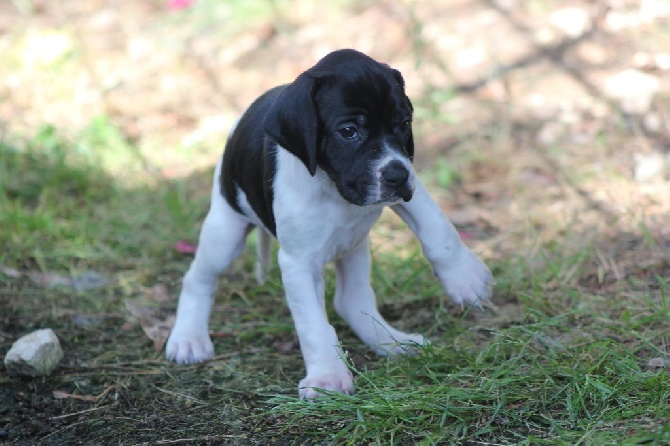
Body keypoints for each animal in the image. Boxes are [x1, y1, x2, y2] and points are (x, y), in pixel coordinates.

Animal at [167, 49, 494, 400]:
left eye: (403, 124)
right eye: (349, 131)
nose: (396, 175)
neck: (332, 187)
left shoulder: (407, 190)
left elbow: (438, 228)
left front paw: (465, 278)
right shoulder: (298, 264)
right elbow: (314, 325)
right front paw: (327, 376)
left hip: (355, 245)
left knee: (350, 300)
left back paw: (392, 342)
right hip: (225, 232)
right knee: (197, 279)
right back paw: (188, 338)